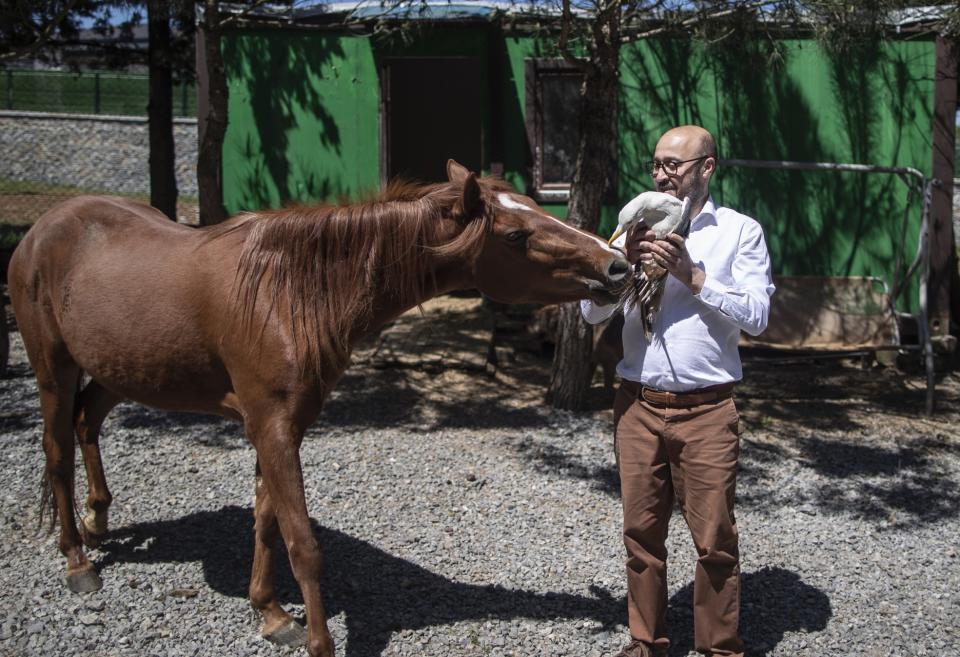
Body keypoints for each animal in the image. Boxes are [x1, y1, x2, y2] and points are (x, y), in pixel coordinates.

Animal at [7, 160, 632, 656]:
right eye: (516, 234)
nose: (617, 266)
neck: (286, 292)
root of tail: (44, 227)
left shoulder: (283, 427)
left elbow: (267, 522)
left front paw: (270, 613)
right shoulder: (272, 427)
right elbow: (303, 544)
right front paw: (316, 640)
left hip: (123, 370)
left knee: (87, 423)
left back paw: (98, 522)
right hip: (54, 369)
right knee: (57, 450)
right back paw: (77, 560)